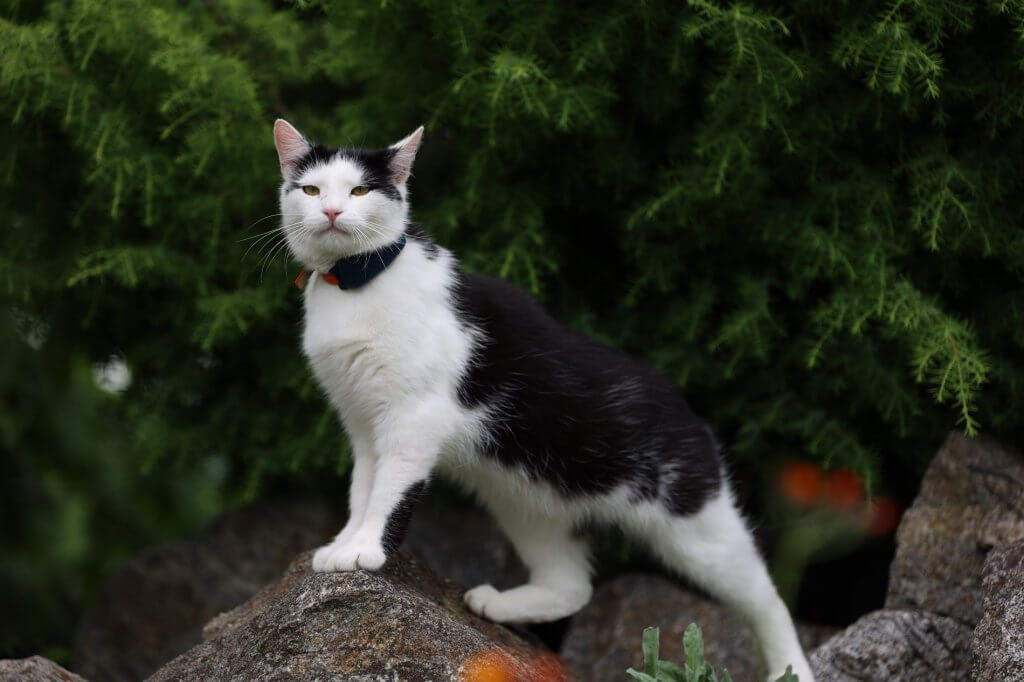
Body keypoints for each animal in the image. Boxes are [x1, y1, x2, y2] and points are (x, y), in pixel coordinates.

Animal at [274, 119, 815, 675]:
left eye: (360, 191)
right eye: (311, 190)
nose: (331, 211)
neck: (353, 286)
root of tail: (688, 411)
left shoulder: (412, 418)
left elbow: (389, 491)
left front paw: (365, 550)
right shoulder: (362, 424)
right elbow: (362, 489)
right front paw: (343, 544)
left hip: (700, 528)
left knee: (767, 596)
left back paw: (792, 668)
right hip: (528, 502)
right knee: (572, 587)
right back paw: (501, 605)